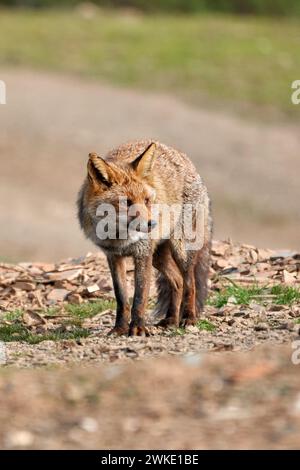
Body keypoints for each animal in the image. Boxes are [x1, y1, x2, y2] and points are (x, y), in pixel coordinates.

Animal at [78, 138, 212, 336]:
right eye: (126, 203)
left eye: (147, 201)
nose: (152, 224)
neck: (120, 238)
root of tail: (185, 159)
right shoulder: (113, 257)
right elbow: (122, 298)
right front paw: (119, 328)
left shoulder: (143, 254)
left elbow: (140, 297)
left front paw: (138, 328)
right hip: (158, 257)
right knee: (177, 281)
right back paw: (171, 319)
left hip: (180, 250)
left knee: (190, 282)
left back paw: (188, 318)